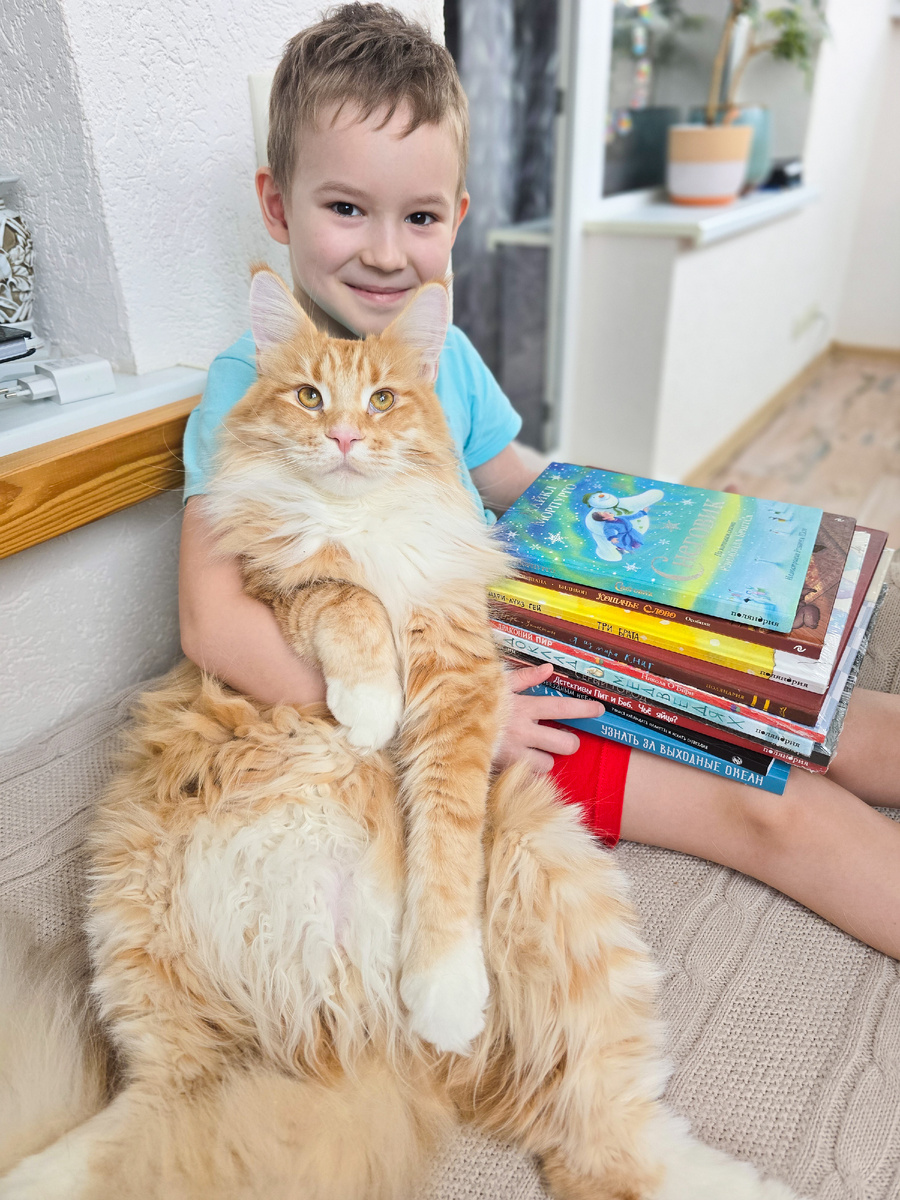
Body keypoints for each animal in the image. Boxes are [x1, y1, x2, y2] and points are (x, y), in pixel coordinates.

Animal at [0, 270, 805, 1200]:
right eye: (310, 397)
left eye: (383, 400)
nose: (346, 435)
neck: (364, 522)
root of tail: (356, 1036)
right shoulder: (270, 589)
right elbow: (340, 596)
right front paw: (368, 705)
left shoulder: (457, 680)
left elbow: (445, 854)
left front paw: (446, 987)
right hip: (142, 958)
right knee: (139, 1122)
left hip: (545, 870)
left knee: (609, 1140)